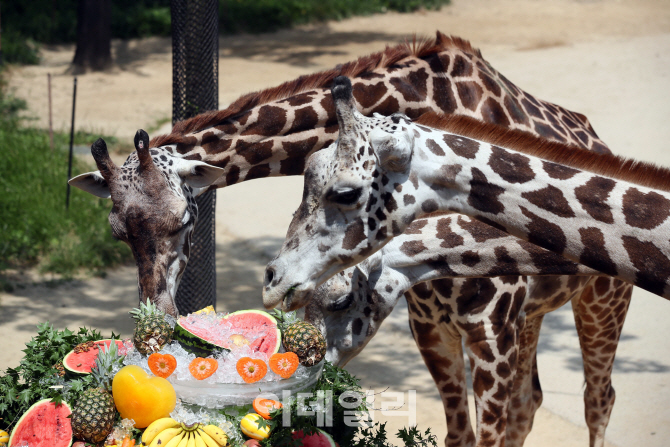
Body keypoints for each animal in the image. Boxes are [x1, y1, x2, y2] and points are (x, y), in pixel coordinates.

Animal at [304, 214, 616, 447]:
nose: (313, 372)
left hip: (603, 296)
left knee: (599, 399)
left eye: (341, 300)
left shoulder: (493, 332)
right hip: (532, 314)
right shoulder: (430, 329)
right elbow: (459, 436)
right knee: (528, 402)